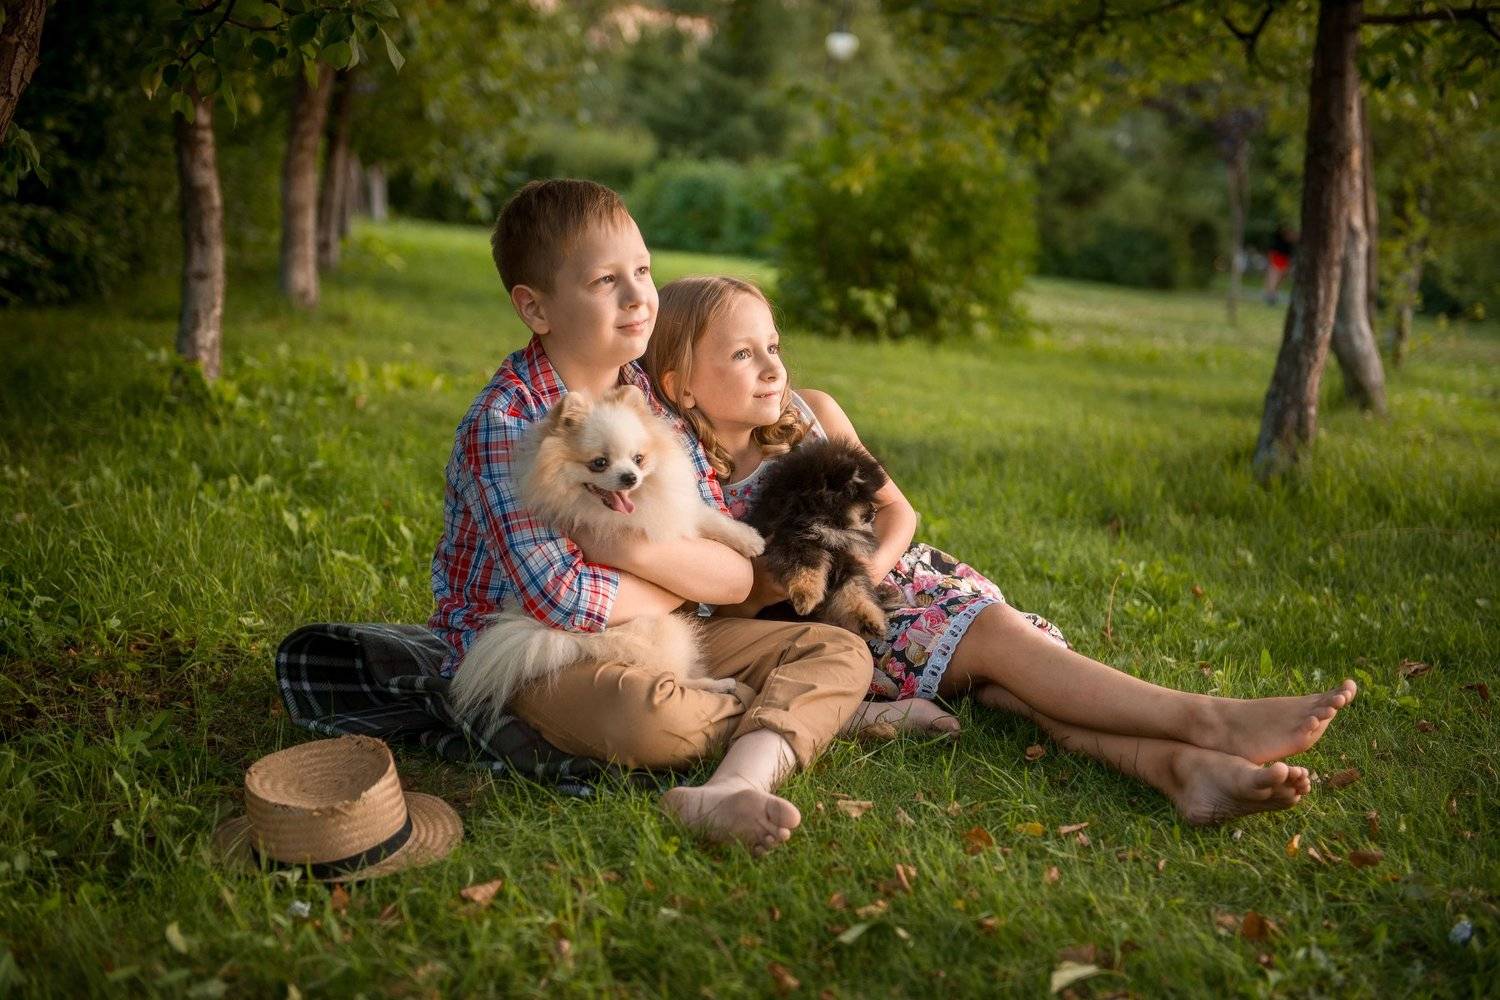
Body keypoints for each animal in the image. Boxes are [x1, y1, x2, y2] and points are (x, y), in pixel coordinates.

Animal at [450, 385, 766, 728]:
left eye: (639, 459)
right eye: (599, 463)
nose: (630, 477)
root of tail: (574, 641)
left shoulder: (680, 511)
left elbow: (711, 519)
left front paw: (750, 540)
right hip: (661, 632)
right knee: (673, 678)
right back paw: (719, 685)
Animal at [744, 438, 895, 641]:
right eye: (856, 495)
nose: (873, 511)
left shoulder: (845, 559)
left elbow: (855, 591)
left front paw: (870, 621)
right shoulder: (794, 543)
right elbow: (806, 567)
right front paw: (806, 597)